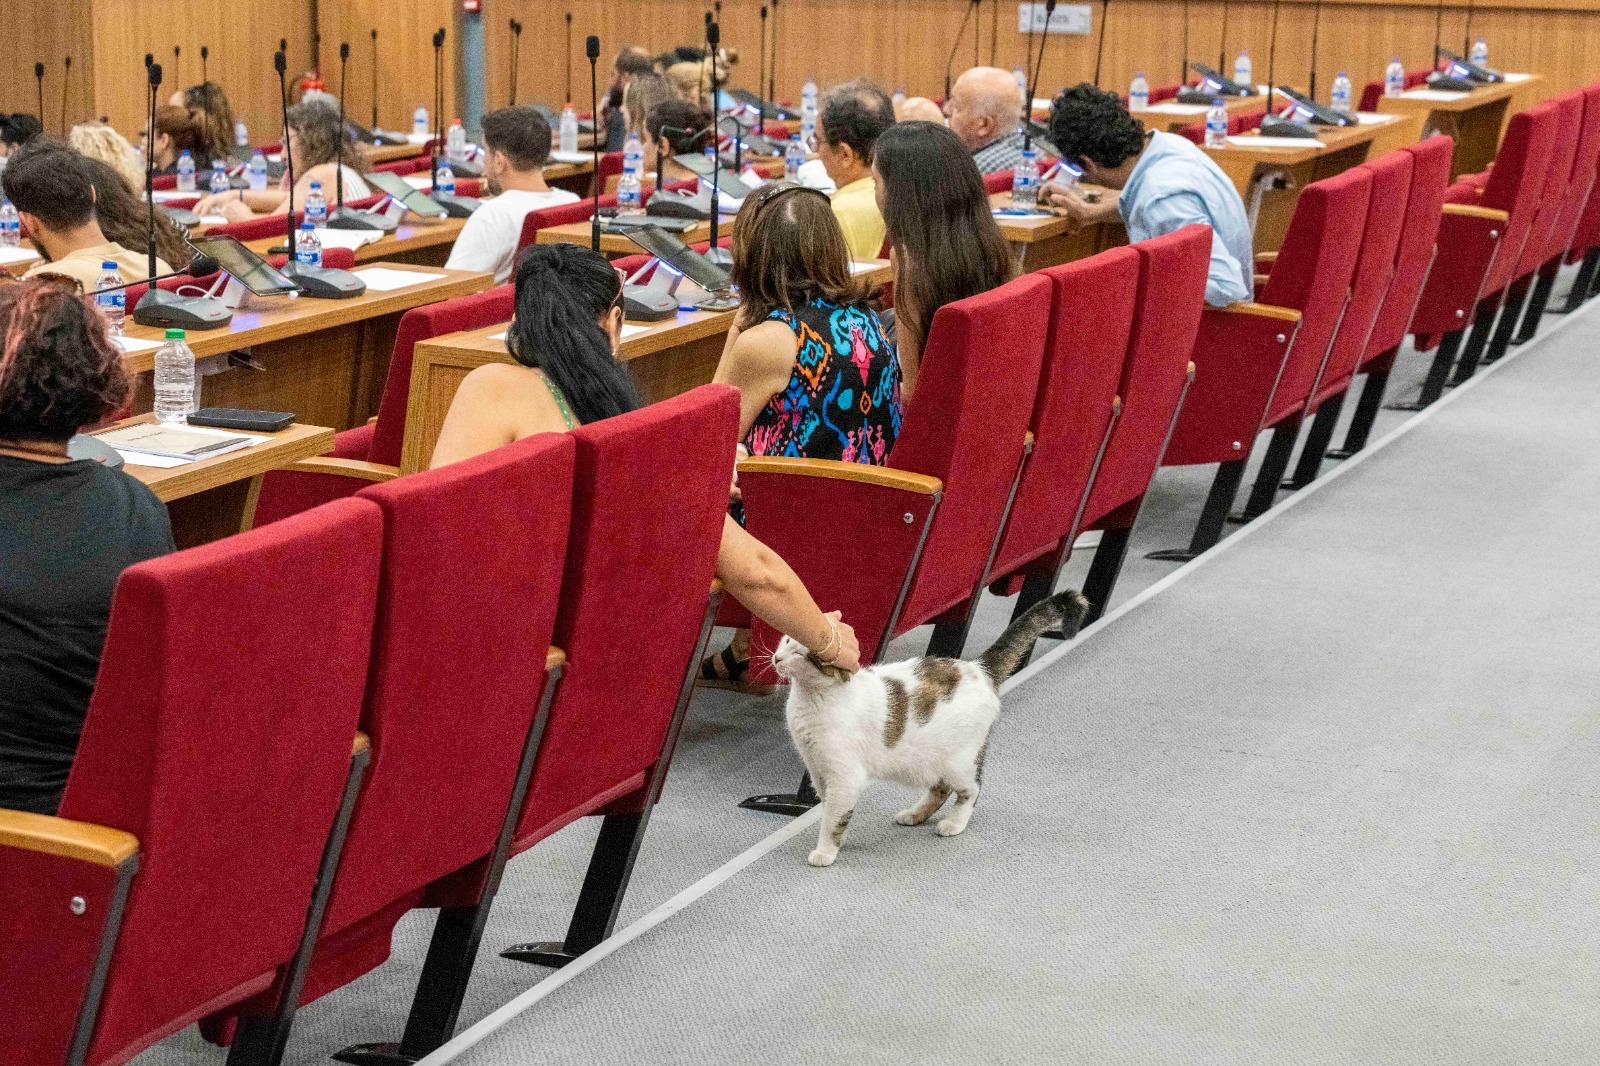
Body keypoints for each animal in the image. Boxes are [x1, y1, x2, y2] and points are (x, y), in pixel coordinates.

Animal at [771, 589, 1094, 864]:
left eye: (800, 653)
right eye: (786, 641)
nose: (776, 657)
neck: (810, 700)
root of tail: (978, 668)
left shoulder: (843, 777)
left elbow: (833, 817)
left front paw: (825, 851)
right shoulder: (817, 770)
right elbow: (832, 811)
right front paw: (838, 839)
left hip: (959, 762)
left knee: (971, 789)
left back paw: (953, 823)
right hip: (927, 762)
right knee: (940, 790)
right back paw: (914, 815)